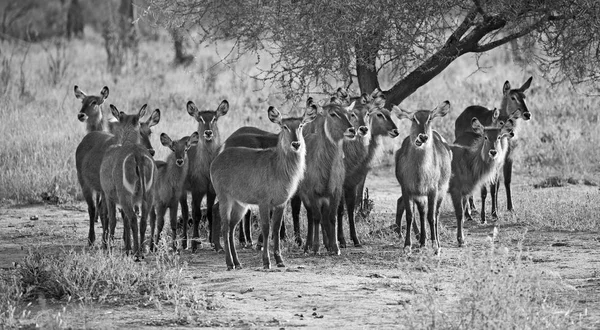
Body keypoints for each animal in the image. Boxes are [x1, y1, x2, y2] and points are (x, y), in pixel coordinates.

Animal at [76, 105, 161, 245]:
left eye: (150, 132)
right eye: (140, 132)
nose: (152, 151)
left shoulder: (109, 193)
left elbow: (115, 218)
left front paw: (116, 241)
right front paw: (119, 241)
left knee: (99, 211)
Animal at [98, 104, 156, 260]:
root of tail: (137, 154)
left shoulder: (109, 196)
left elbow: (113, 220)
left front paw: (110, 249)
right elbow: (125, 222)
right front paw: (127, 248)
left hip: (125, 196)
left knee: (133, 220)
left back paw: (137, 254)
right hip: (148, 196)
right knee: (142, 221)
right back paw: (140, 251)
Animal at [180, 99, 230, 251]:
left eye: (214, 118)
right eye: (200, 119)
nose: (208, 132)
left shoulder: (211, 190)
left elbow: (209, 213)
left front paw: (213, 242)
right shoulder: (197, 190)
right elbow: (196, 214)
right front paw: (195, 243)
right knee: (185, 213)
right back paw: (184, 242)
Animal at [210, 107, 316, 270]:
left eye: (300, 125)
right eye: (284, 126)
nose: (296, 144)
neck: (279, 167)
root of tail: (217, 157)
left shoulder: (281, 203)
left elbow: (276, 229)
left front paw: (280, 260)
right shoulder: (264, 203)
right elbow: (266, 229)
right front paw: (266, 261)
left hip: (240, 205)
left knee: (232, 228)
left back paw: (237, 262)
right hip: (225, 199)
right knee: (225, 227)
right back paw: (229, 262)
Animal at [394, 102, 450, 254]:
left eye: (430, 118)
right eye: (414, 118)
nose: (423, 137)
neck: (420, 172)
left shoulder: (433, 190)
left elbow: (431, 217)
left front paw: (435, 246)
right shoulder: (407, 190)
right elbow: (410, 216)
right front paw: (407, 246)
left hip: (441, 191)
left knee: (435, 214)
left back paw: (435, 242)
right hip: (419, 195)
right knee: (421, 212)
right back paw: (422, 242)